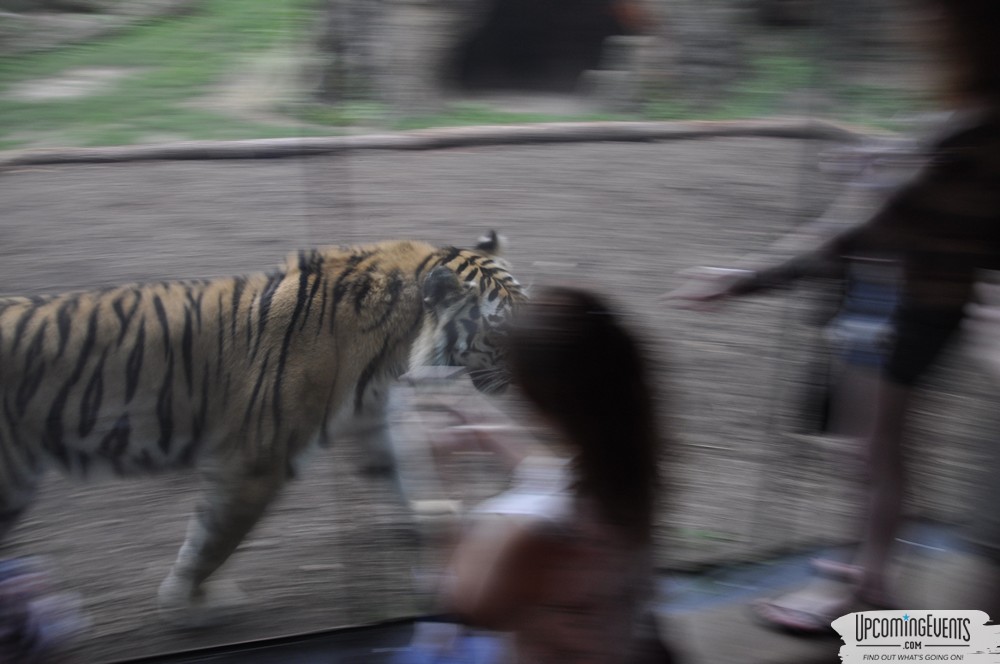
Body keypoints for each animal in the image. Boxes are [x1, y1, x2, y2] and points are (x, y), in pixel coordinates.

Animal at [0, 231, 524, 624]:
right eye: (500, 331)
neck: (394, 348)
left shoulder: (369, 416)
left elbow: (400, 467)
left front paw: (432, 515)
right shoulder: (257, 459)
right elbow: (214, 537)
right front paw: (187, 603)